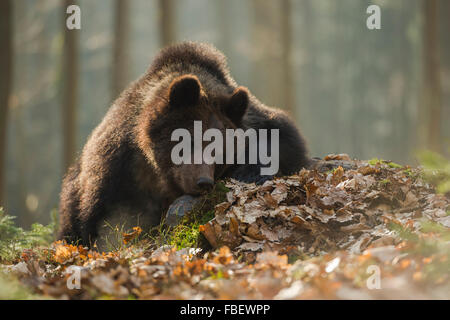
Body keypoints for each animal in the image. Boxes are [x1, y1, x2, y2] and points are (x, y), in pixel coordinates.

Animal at [57, 42, 310, 248]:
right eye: (189, 142)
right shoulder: (119, 164)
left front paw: (249, 172)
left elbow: (280, 140)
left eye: (220, 153)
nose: (203, 182)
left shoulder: (255, 122)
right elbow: (104, 216)